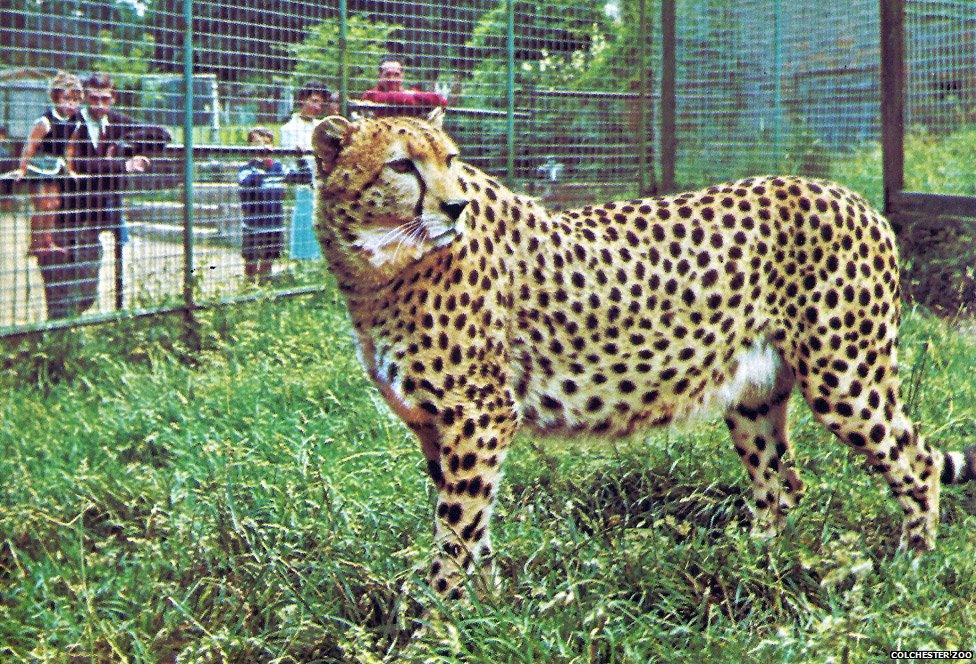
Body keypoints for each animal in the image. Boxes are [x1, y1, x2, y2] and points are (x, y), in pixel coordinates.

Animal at [310, 109, 976, 600]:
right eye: (402, 165)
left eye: (450, 161)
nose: (455, 207)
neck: (376, 270)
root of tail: (856, 199)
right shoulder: (439, 428)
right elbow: (472, 529)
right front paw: (487, 607)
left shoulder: (480, 417)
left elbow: (455, 533)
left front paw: (440, 620)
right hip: (754, 394)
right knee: (782, 482)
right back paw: (750, 562)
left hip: (844, 377)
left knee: (914, 464)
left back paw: (911, 569)